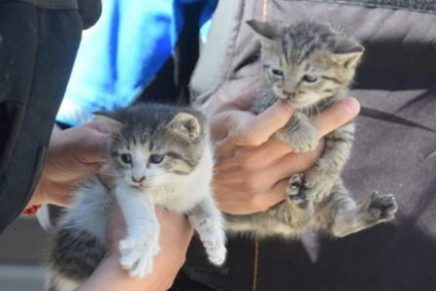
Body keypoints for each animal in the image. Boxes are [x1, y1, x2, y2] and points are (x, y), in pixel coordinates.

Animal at [46, 105, 227, 291]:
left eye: (157, 158)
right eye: (126, 158)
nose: (137, 178)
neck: (172, 183)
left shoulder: (195, 185)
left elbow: (206, 204)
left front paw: (215, 241)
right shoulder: (123, 184)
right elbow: (142, 211)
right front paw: (141, 250)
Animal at [225, 20, 398, 240]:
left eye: (310, 78)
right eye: (277, 72)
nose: (288, 92)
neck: (310, 106)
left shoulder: (343, 118)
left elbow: (342, 147)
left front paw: (324, 175)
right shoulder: (260, 107)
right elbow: (282, 114)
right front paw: (304, 134)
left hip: (334, 190)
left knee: (336, 224)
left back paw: (369, 210)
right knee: (297, 219)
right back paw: (299, 203)